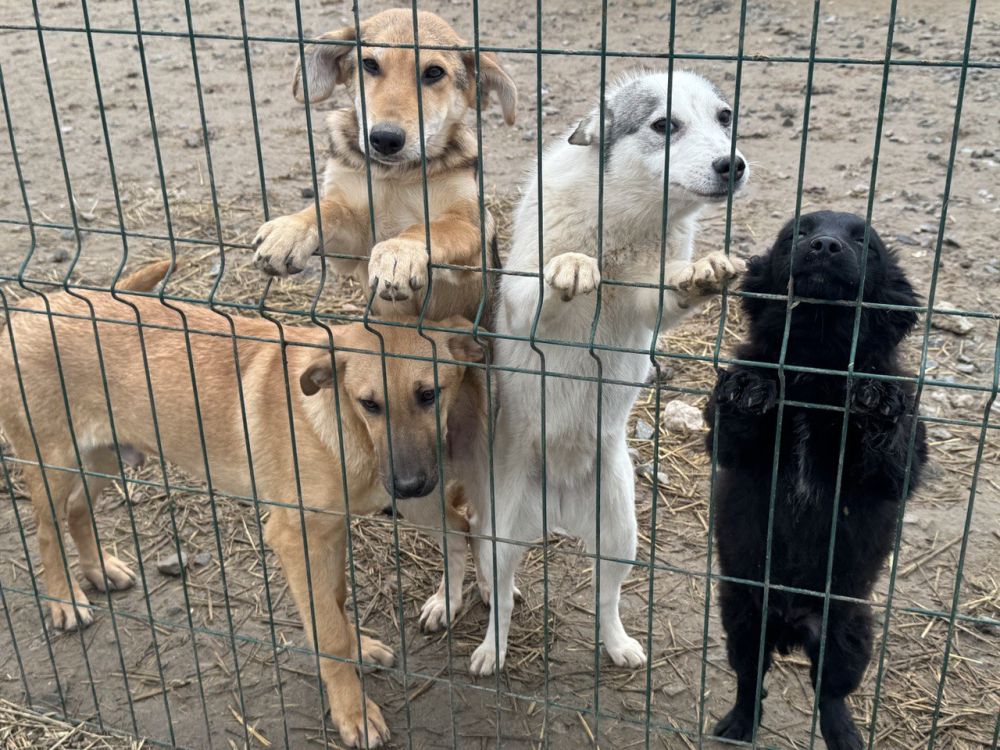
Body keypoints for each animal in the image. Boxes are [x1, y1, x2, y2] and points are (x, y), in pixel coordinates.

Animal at [0, 262, 488, 748]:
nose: (409, 485)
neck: (337, 422)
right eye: (370, 404)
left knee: (77, 510)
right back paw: (64, 600)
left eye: (429, 395)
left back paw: (100, 569)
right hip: (52, 463)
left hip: (102, 457)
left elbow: (334, 601)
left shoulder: (328, 533)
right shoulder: (295, 539)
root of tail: (35, 304)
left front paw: (358, 649)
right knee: (46, 528)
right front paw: (353, 711)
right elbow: (327, 629)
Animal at [250, 8, 516, 324]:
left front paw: (400, 250)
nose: (385, 139)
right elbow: (328, 209)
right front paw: (290, 230)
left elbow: (434, 227)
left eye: (434, 72)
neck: (396, 175)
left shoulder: (471, 229)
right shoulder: (353, 248)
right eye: (370, 64)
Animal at [468, 72, 752, 680]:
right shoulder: (521, 300)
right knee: (500, 599)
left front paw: (705, 272)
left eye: (725, 118)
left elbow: (671, 289)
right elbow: (545, 282)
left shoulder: (649, 302)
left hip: (621, 537)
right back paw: (490, 651)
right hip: (500, 542)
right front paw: (573, 268)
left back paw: (619, 645)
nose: (732, 165)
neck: (624, 220)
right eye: (664, 125)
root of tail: (556, 505)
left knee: (607, 599)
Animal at [708, 212, 924, 750]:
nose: (825, 246)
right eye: (798, 235)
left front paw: (876, 402)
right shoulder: (729, 447)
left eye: (865, 242)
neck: (815, 361)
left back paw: (843, 734)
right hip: (743, 618)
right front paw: (748, 389)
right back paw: (739, 724)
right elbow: (732, 423)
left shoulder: (900, 470)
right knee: (750, 679)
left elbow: (897, 451)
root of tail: (790, 624)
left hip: (849, 634)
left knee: (830, 693)